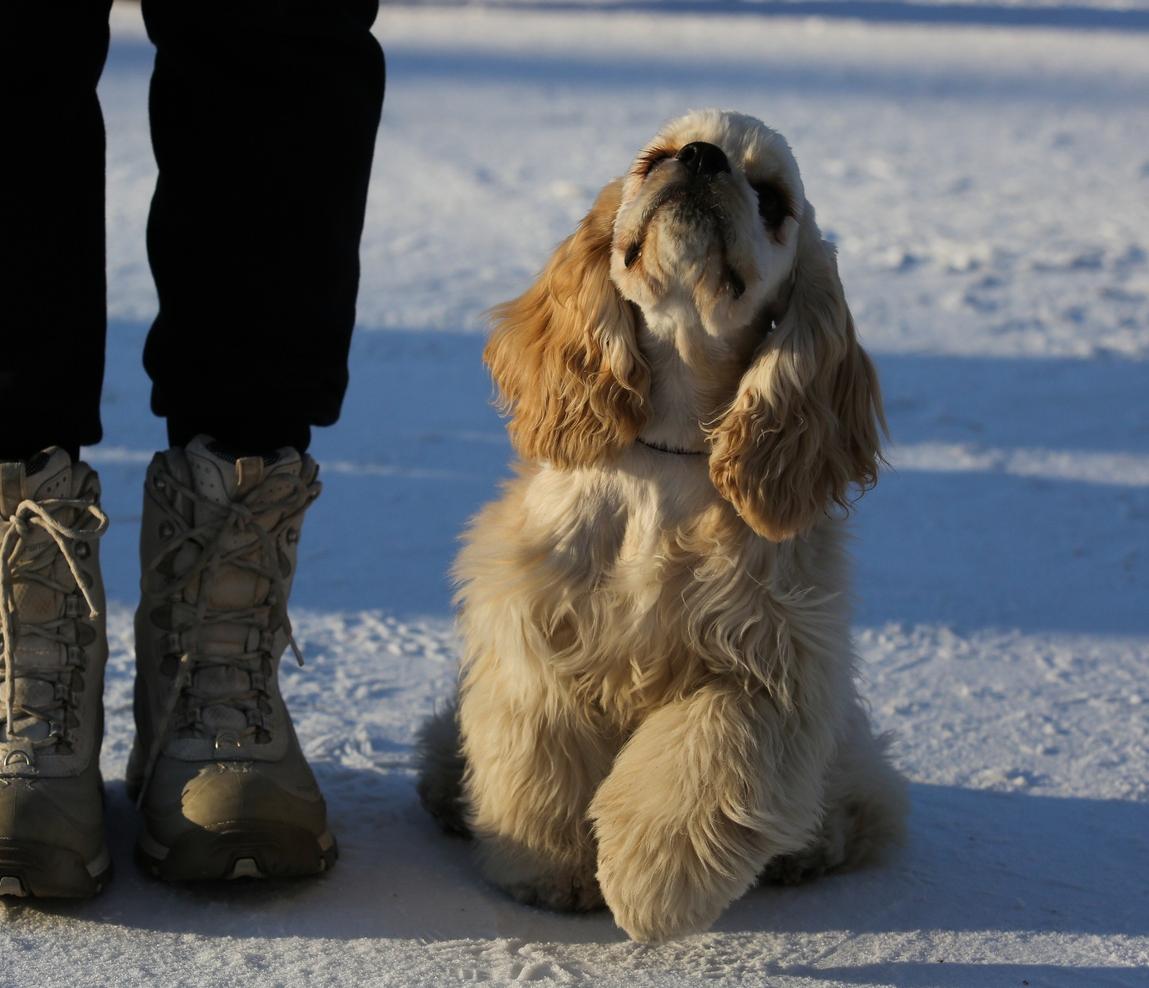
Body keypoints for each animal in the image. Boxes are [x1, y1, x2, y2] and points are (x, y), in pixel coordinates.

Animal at [413, 107, 905, 942]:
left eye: (773, 199)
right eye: (655, 158)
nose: (701, 159)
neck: (668, 454)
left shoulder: (766, 664)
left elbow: (707, 760)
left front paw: (649, 884)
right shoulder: (539, 637)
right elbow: (538, 761)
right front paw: (549, 871)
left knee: (863, 803)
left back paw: (810, 847)